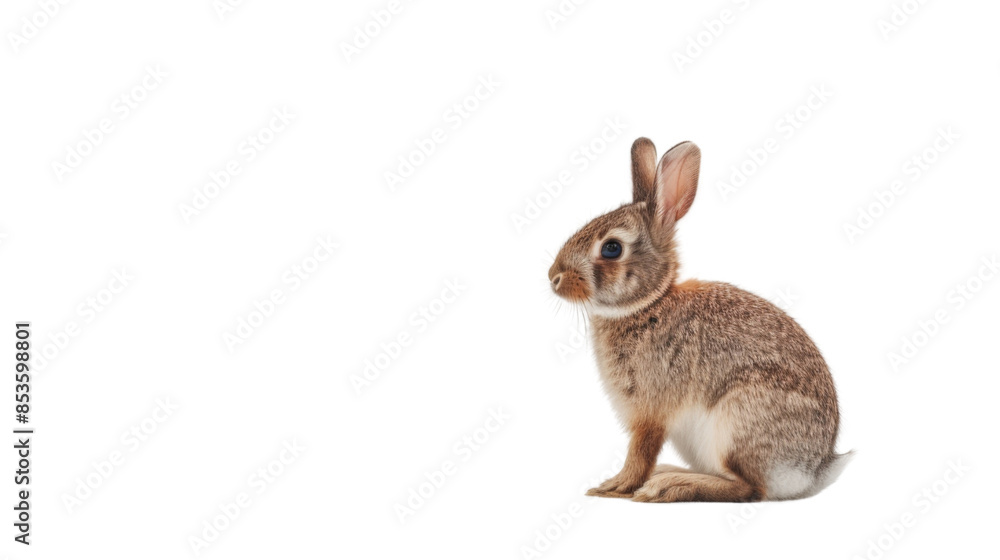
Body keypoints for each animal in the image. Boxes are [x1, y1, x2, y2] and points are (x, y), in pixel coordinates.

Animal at [548, 138, 852, 502]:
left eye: (611, 248)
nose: (553, 277)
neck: (648, 305)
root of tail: (815, 469)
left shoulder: (652, 410)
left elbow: (641, 451)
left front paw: (616, 486)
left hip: (736, 420)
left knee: (750, 488)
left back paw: (669, 485)